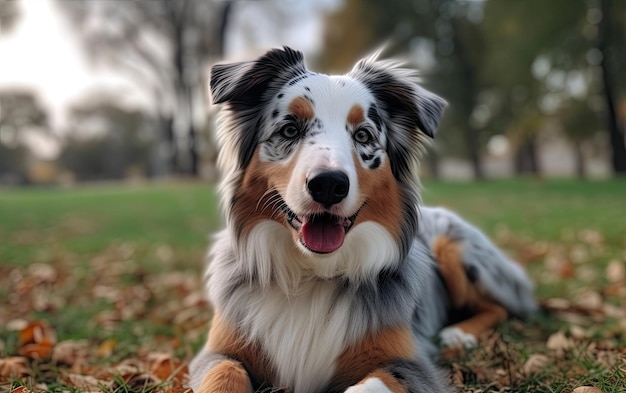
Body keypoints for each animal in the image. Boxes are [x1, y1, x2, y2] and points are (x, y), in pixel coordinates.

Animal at [188, 46, 532, 392]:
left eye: (363, 135)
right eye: (290, 129)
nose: (328, 184)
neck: (313, 274)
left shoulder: (412, 365)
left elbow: (367, 386)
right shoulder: (217, 352)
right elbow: (224, 374)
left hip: (454, 248)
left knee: (502, 306)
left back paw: (457, 334)